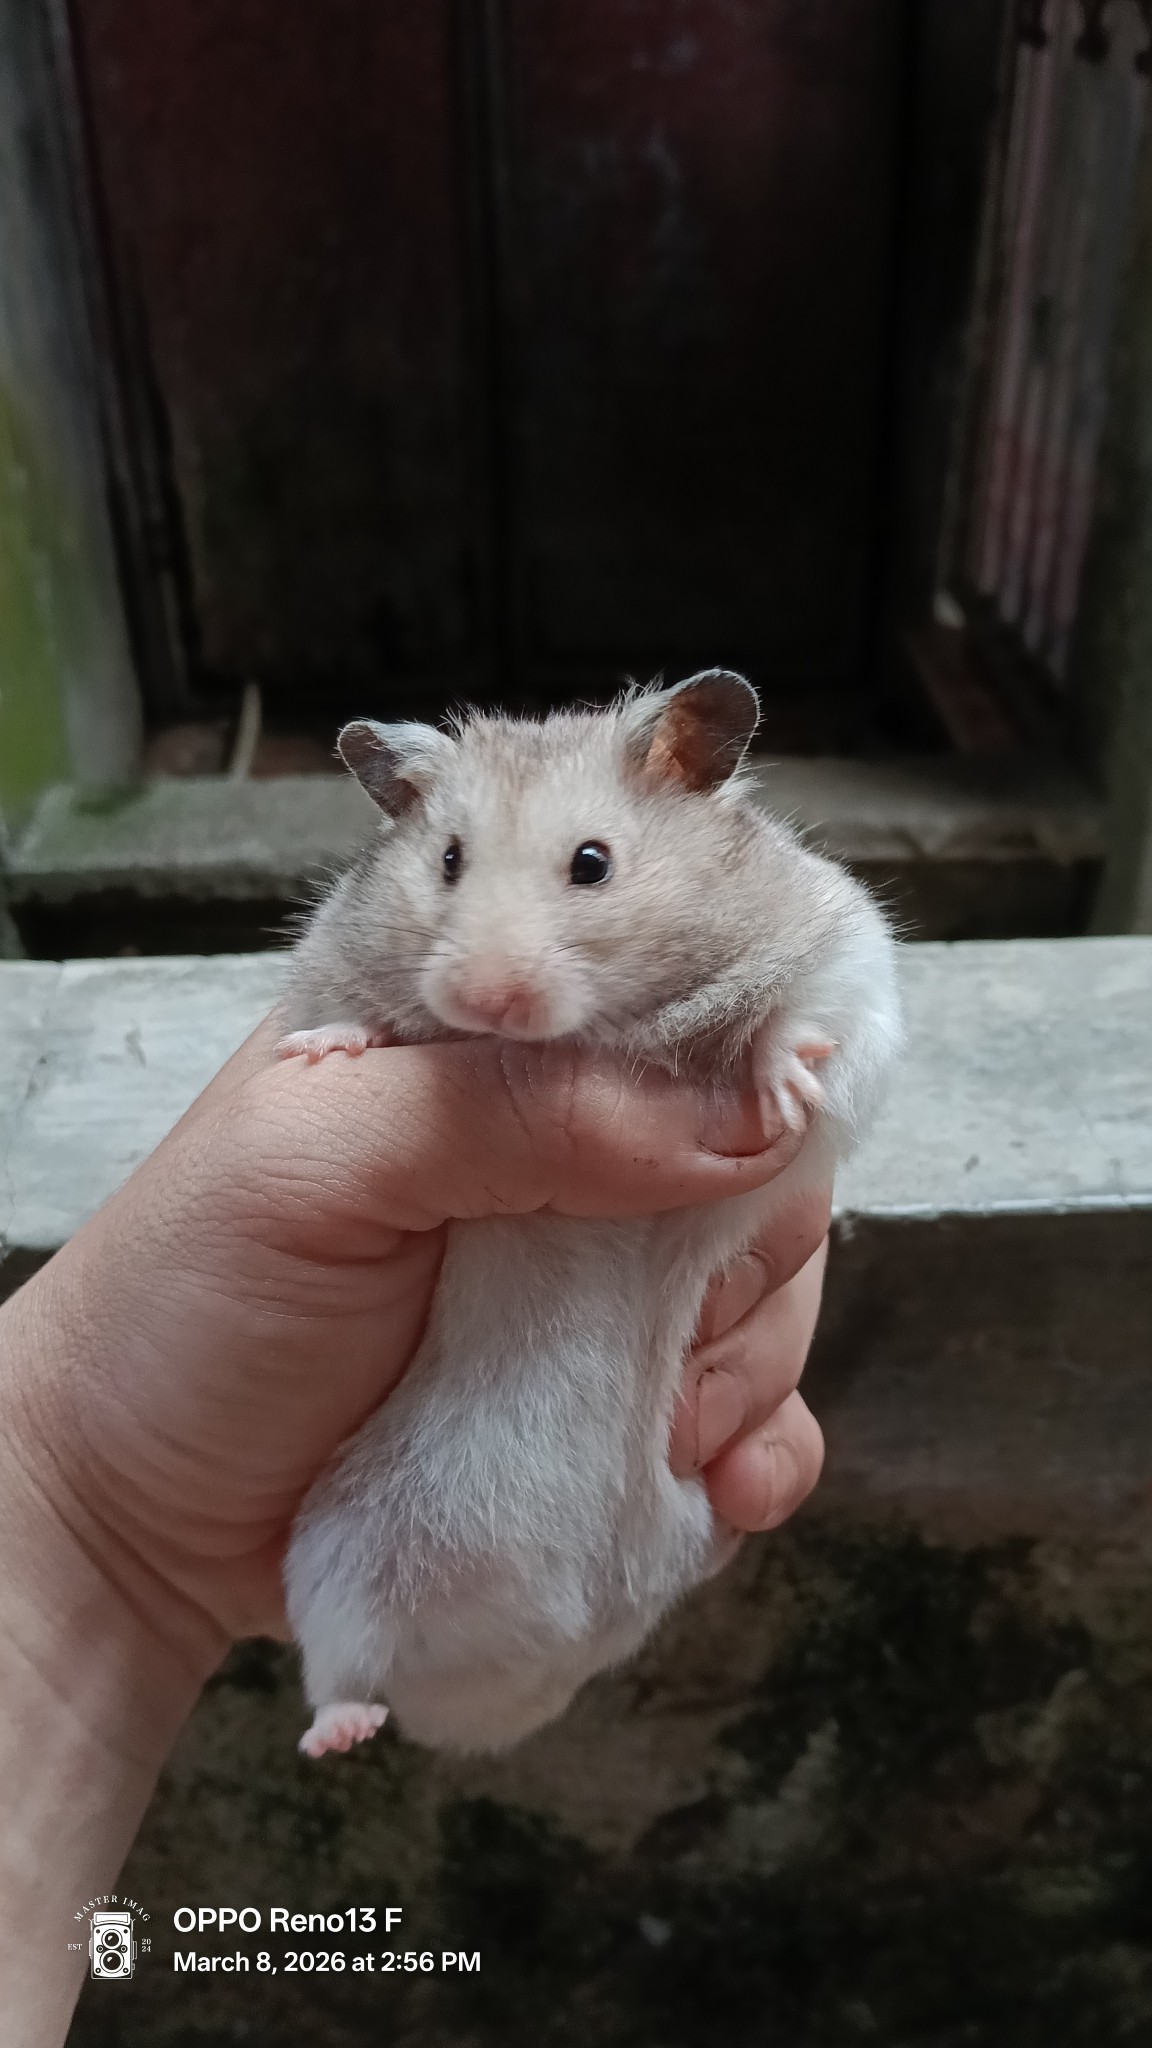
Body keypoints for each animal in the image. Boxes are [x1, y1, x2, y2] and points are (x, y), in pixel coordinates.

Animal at [278, 670, 902, 1758]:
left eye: (592, 863)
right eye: (448, 860)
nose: (487, 998)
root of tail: (513, 1689)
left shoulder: (846, 947)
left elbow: (804, 1019)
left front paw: (784, 1090)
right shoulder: (329, 957)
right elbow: (340, 1006)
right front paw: (327, 1049)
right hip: (332, 1559)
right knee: (340, 1666)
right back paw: (338, 1736)